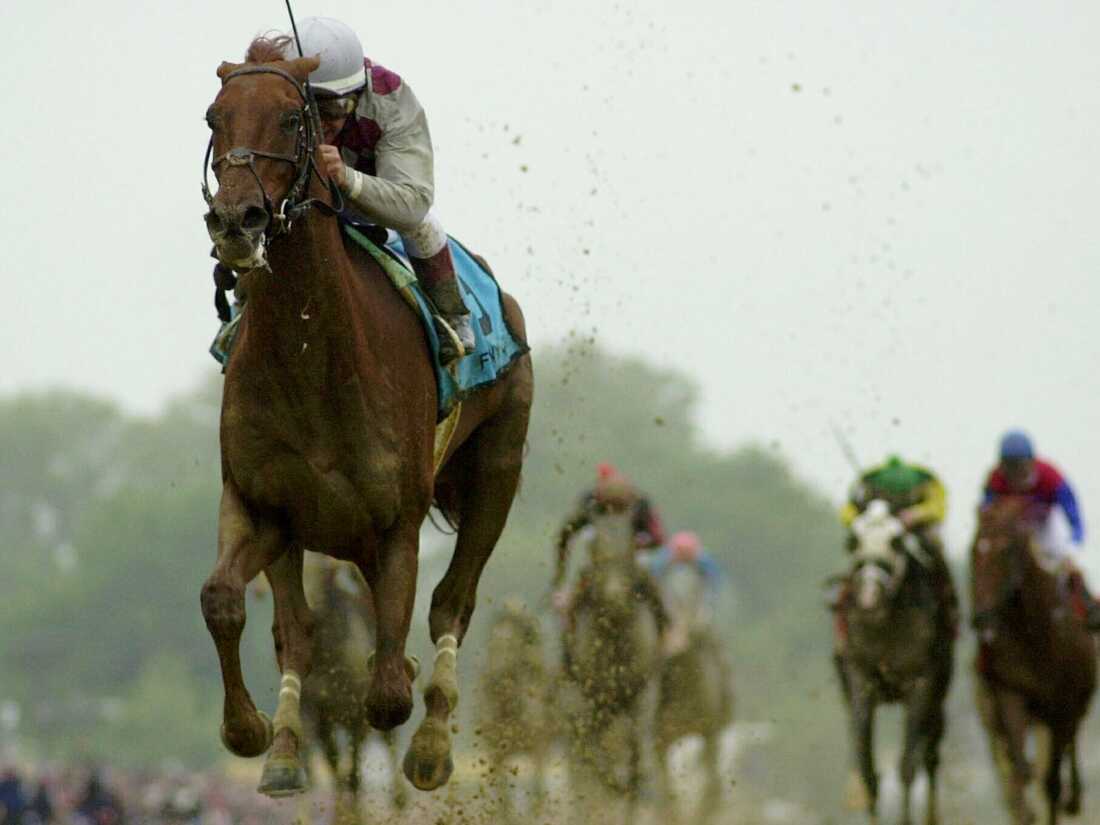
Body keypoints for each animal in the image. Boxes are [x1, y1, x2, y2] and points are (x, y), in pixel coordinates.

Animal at [202, 51, 536, 800]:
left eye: (290, 118)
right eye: (214, 117)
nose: (236, 219)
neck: (312, 357)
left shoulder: (396, 522)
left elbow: (384, 690)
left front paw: (410, 715)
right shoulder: (262, 504)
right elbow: (227, 602)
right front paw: (250, 730)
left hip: (497, 470)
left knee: (451, 602)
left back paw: (433, 743)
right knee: (297, 630)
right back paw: (287, 750)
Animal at [831, 501, 954, 825]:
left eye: (896, 541)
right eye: (854, 541)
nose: (869, 598)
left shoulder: (920, 682)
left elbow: (908, 765)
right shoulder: (860, 679)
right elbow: (866, 767)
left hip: (939, 693)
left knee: (931, 756)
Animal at [972, 497, 1091, 825]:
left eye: (1006, 551)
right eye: (974, 551)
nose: (980, 618)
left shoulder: (1063, 707)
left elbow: (1051, 781)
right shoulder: (1011, 694)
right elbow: (1020, 763)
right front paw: (1024, 804)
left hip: (1077, 706)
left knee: (1071, 744)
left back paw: (1074, 798)